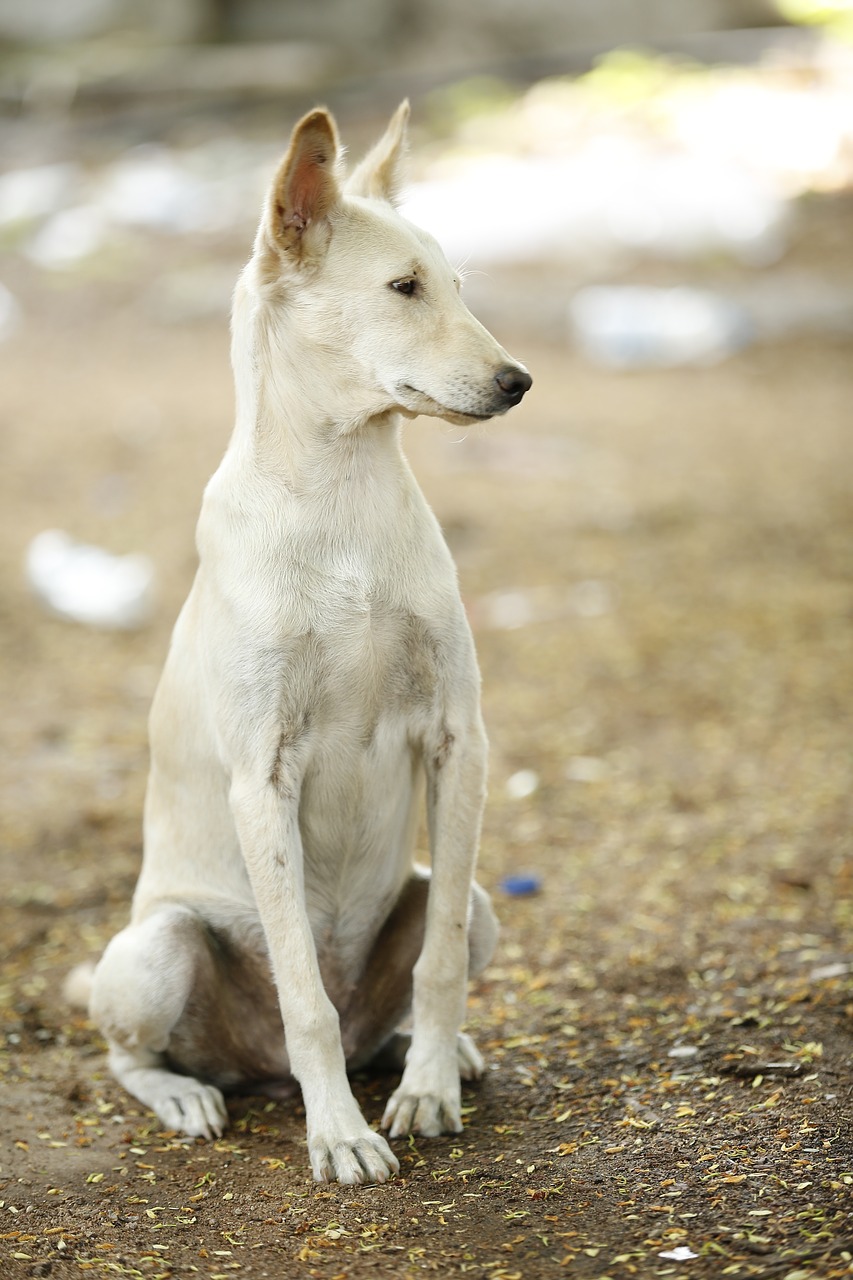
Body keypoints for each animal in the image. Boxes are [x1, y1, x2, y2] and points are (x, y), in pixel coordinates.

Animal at [91, 102, 532, 1187]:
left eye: (457, 284)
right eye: (404, 288)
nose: (519, 382)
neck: (345, 508)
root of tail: (248, 1067)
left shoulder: (461, 741)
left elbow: (439, 960)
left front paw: (426, 1090)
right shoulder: (264, 779)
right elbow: (305, 997)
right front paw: (339, 1133)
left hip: (471, 897)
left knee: (403, 989)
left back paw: (428, 1052)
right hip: (157, 948)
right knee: (133, 1052)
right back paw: (189, 1092)